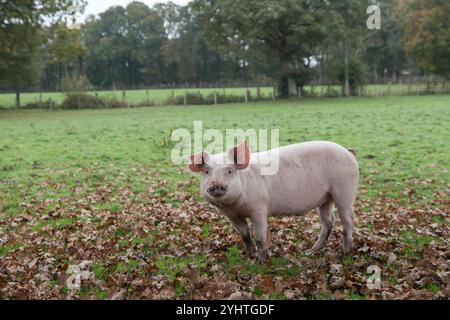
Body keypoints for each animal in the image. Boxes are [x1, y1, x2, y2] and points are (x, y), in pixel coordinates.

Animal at [188, 141, 360, 262]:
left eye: (229, 171)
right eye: (207, 171)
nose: (216, 184)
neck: (235, 206)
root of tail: (349, 153)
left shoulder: (259, 208)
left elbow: (259, 237)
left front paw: (262, 261)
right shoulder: (231, 215)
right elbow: (244, 235)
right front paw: (248, 255)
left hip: (344, 191)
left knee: (348, 219)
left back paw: (345, 252)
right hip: (325, 198)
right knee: (329, 221)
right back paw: (311, 251)